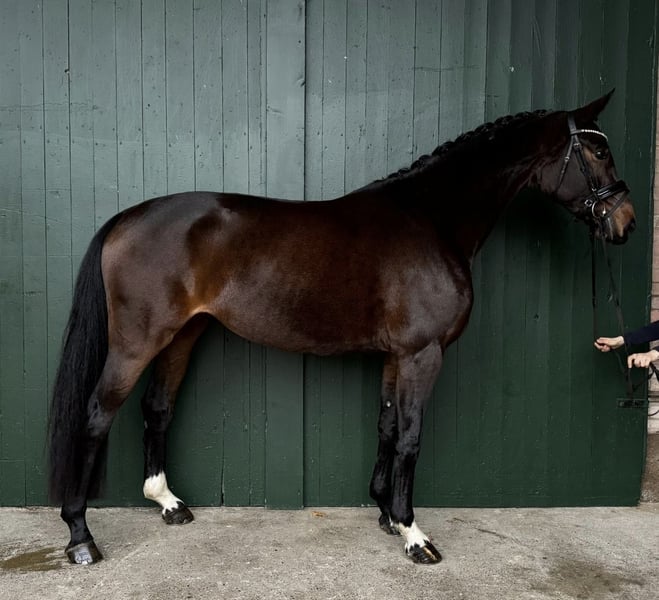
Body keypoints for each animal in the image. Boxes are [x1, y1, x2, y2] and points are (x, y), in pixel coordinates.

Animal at [48, 90, 635, 566]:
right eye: (598, 152)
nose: (626, 223)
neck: (432, 220)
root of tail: (126, 218)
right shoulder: (423, 354)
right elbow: (411, 438)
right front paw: (414, 535)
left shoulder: (398, 356)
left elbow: (388, 426)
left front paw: (386, 513)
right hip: (136, 342)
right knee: (97, 414)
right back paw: (80, 536)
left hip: (182, 336)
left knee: (157, 408)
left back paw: (168, 503)